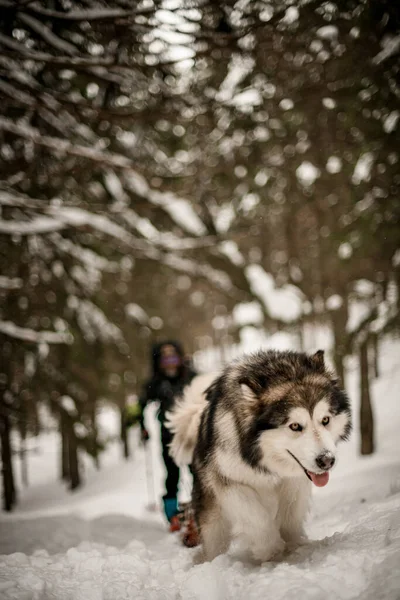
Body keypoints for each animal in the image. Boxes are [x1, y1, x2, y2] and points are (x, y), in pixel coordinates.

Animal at [167, 350, 352, 560]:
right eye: (295, 426)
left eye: (325, 420)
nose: (327, 461)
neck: (266, 463)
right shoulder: (229, 481)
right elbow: (255, 516)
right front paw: (269, 548)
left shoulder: (294, 482)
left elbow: (290, 516)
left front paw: (294, 546)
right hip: (213, 520)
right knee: (214, 543)